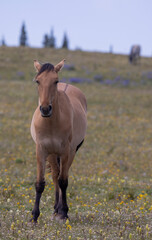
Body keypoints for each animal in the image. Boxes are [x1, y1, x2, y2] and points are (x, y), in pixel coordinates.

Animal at [30, 59, 87, 222]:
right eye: (38, 81)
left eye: (55, 81)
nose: (45, 109)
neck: (51, 123)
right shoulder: (42, 150)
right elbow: (40, 183)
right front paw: (34, 216)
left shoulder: (66, 152)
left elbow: (63, 181)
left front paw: (64, 213)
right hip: (52, 154)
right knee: (55, 175)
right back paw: (55, 208)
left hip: (71, 152)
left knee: (62, 176)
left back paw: (60, 210)